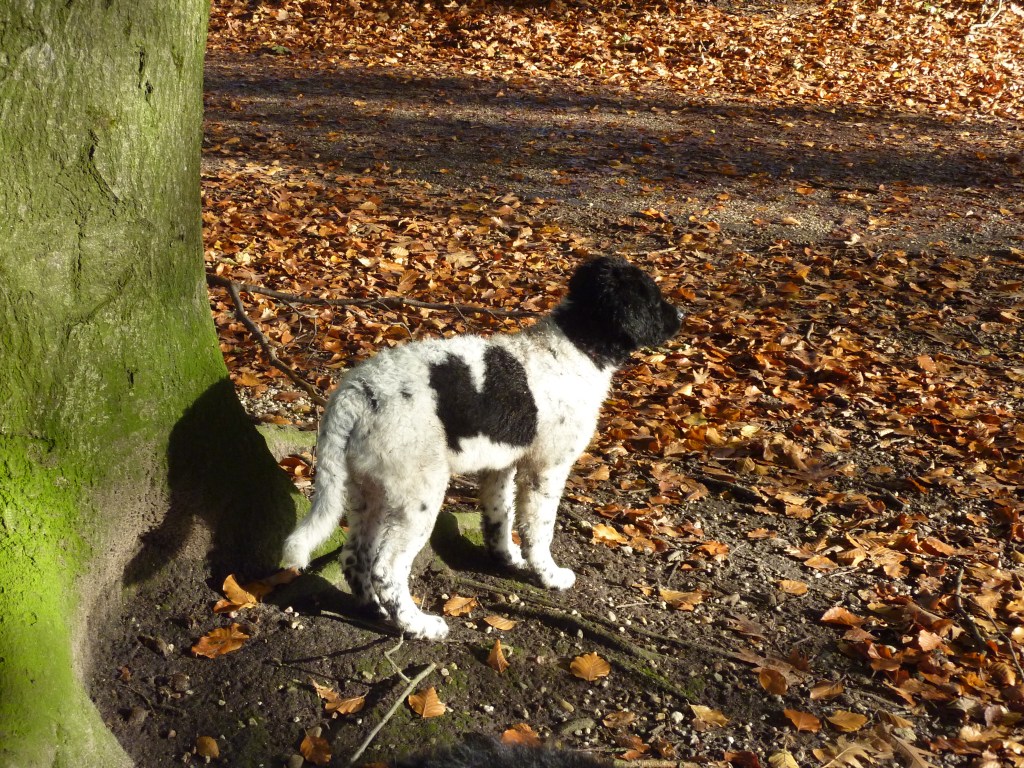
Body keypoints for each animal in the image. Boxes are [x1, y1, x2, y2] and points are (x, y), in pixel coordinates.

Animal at [282, 256, 681, 639]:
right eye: (651, 297)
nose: (681, 316)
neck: (577, 345)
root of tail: (355, 394)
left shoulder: (500, 465)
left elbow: (499, 516)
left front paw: (508, 558)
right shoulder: (546, 468)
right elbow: (540, 528)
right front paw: (549, 576)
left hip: (370, 488)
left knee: (355, 557)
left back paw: (375, 611)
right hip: (417, 494)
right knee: (387, 568)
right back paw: (419, 626)